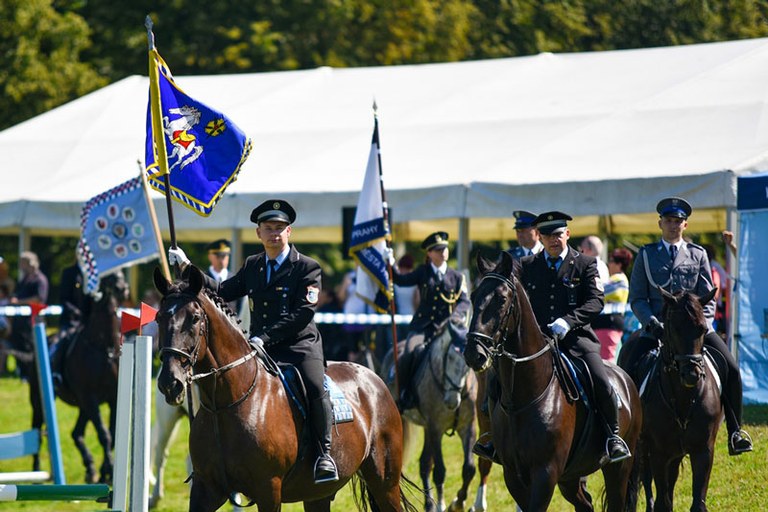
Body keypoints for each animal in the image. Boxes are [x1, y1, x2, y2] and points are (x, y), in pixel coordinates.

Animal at [56, 272, 128, 484]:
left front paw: (105, 471)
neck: (103, 347)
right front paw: (109, 469)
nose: (122, 288)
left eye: (122, 272)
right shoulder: (90, 397)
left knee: (76, 434)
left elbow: (112, 434)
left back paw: (90, 468)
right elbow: (104, 435)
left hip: (83, 406)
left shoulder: (112, 398)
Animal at [153, 266, 416, 512]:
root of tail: (373, 378)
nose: (170, 382)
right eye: (158, 318)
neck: (228, 402)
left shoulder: (268, 489)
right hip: (318, 494)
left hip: (384, 484)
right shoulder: (205, 488)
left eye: (195, 318)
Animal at [462, 255, 640, 512]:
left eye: (502, 299)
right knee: (585, 504)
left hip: (619, 468)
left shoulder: (545, 474)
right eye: (474, 296)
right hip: (570, 477)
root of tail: (626, 379)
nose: (473, 353)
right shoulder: (513, 475)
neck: (526, 395)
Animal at [620, 288, 724, 512]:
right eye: (674, 328)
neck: (684, 399)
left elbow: (697, 502)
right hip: (645, 447)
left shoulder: (703, 451)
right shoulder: (659, 452)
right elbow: (663, 501)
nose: (692, 374)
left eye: (703, 329)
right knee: (646, 479)